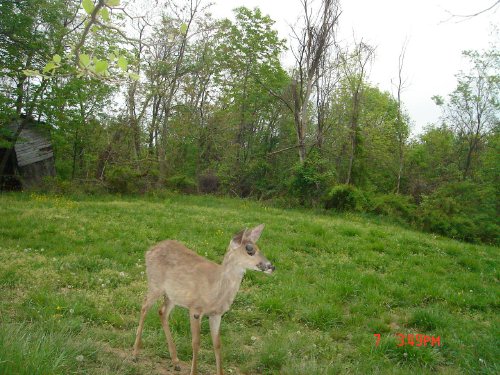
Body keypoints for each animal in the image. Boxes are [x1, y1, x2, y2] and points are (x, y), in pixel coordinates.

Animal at [132, 225, 274, 374]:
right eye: (249, 249)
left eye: (258, 247)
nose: (271, 266)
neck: (215, 290)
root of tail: (149, 251)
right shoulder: (195, 309)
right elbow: (196, 342)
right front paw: (193, 371)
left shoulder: (217, 314)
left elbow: (217, 344)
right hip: (155, 284)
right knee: (144, 306)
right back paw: (135, 354)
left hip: (172, 295)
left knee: (162, 312)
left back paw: (176, 361)